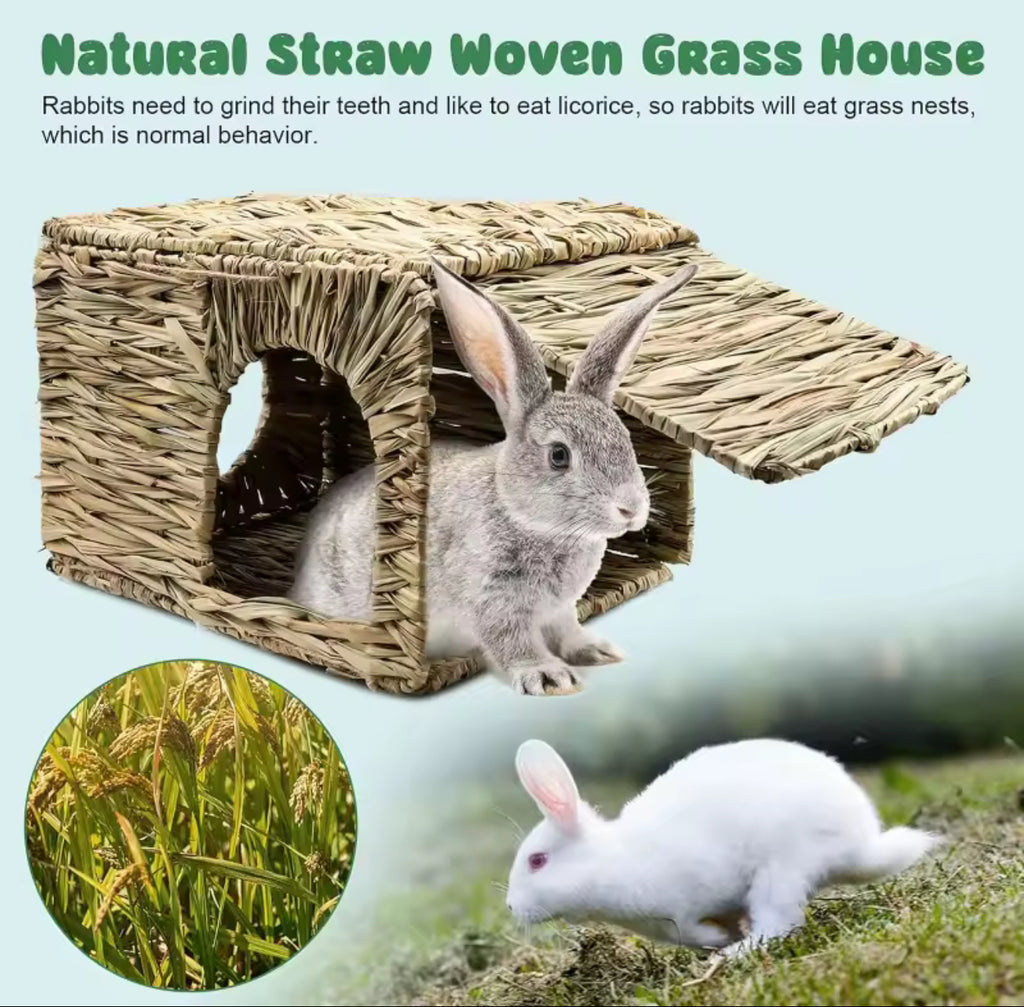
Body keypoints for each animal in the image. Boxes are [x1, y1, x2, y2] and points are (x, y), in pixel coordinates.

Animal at [289, 258, 698, 696]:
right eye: (558, 456)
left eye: (626, 439)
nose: (631, 509)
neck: (526, 517)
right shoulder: (493, 599)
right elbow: (511, 639)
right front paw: (549, 676)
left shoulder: (559, 609)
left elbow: (567, 629)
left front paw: (597, 651)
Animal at [506, 738, 941, 955]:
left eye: (537, 861)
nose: (511, 908)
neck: (613, 861)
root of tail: (860, 844)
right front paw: (722, 937)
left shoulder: (680, 911)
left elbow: (693, 932)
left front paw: (718, 942)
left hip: (781, 873)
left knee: (778, 926)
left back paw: (731, 954)